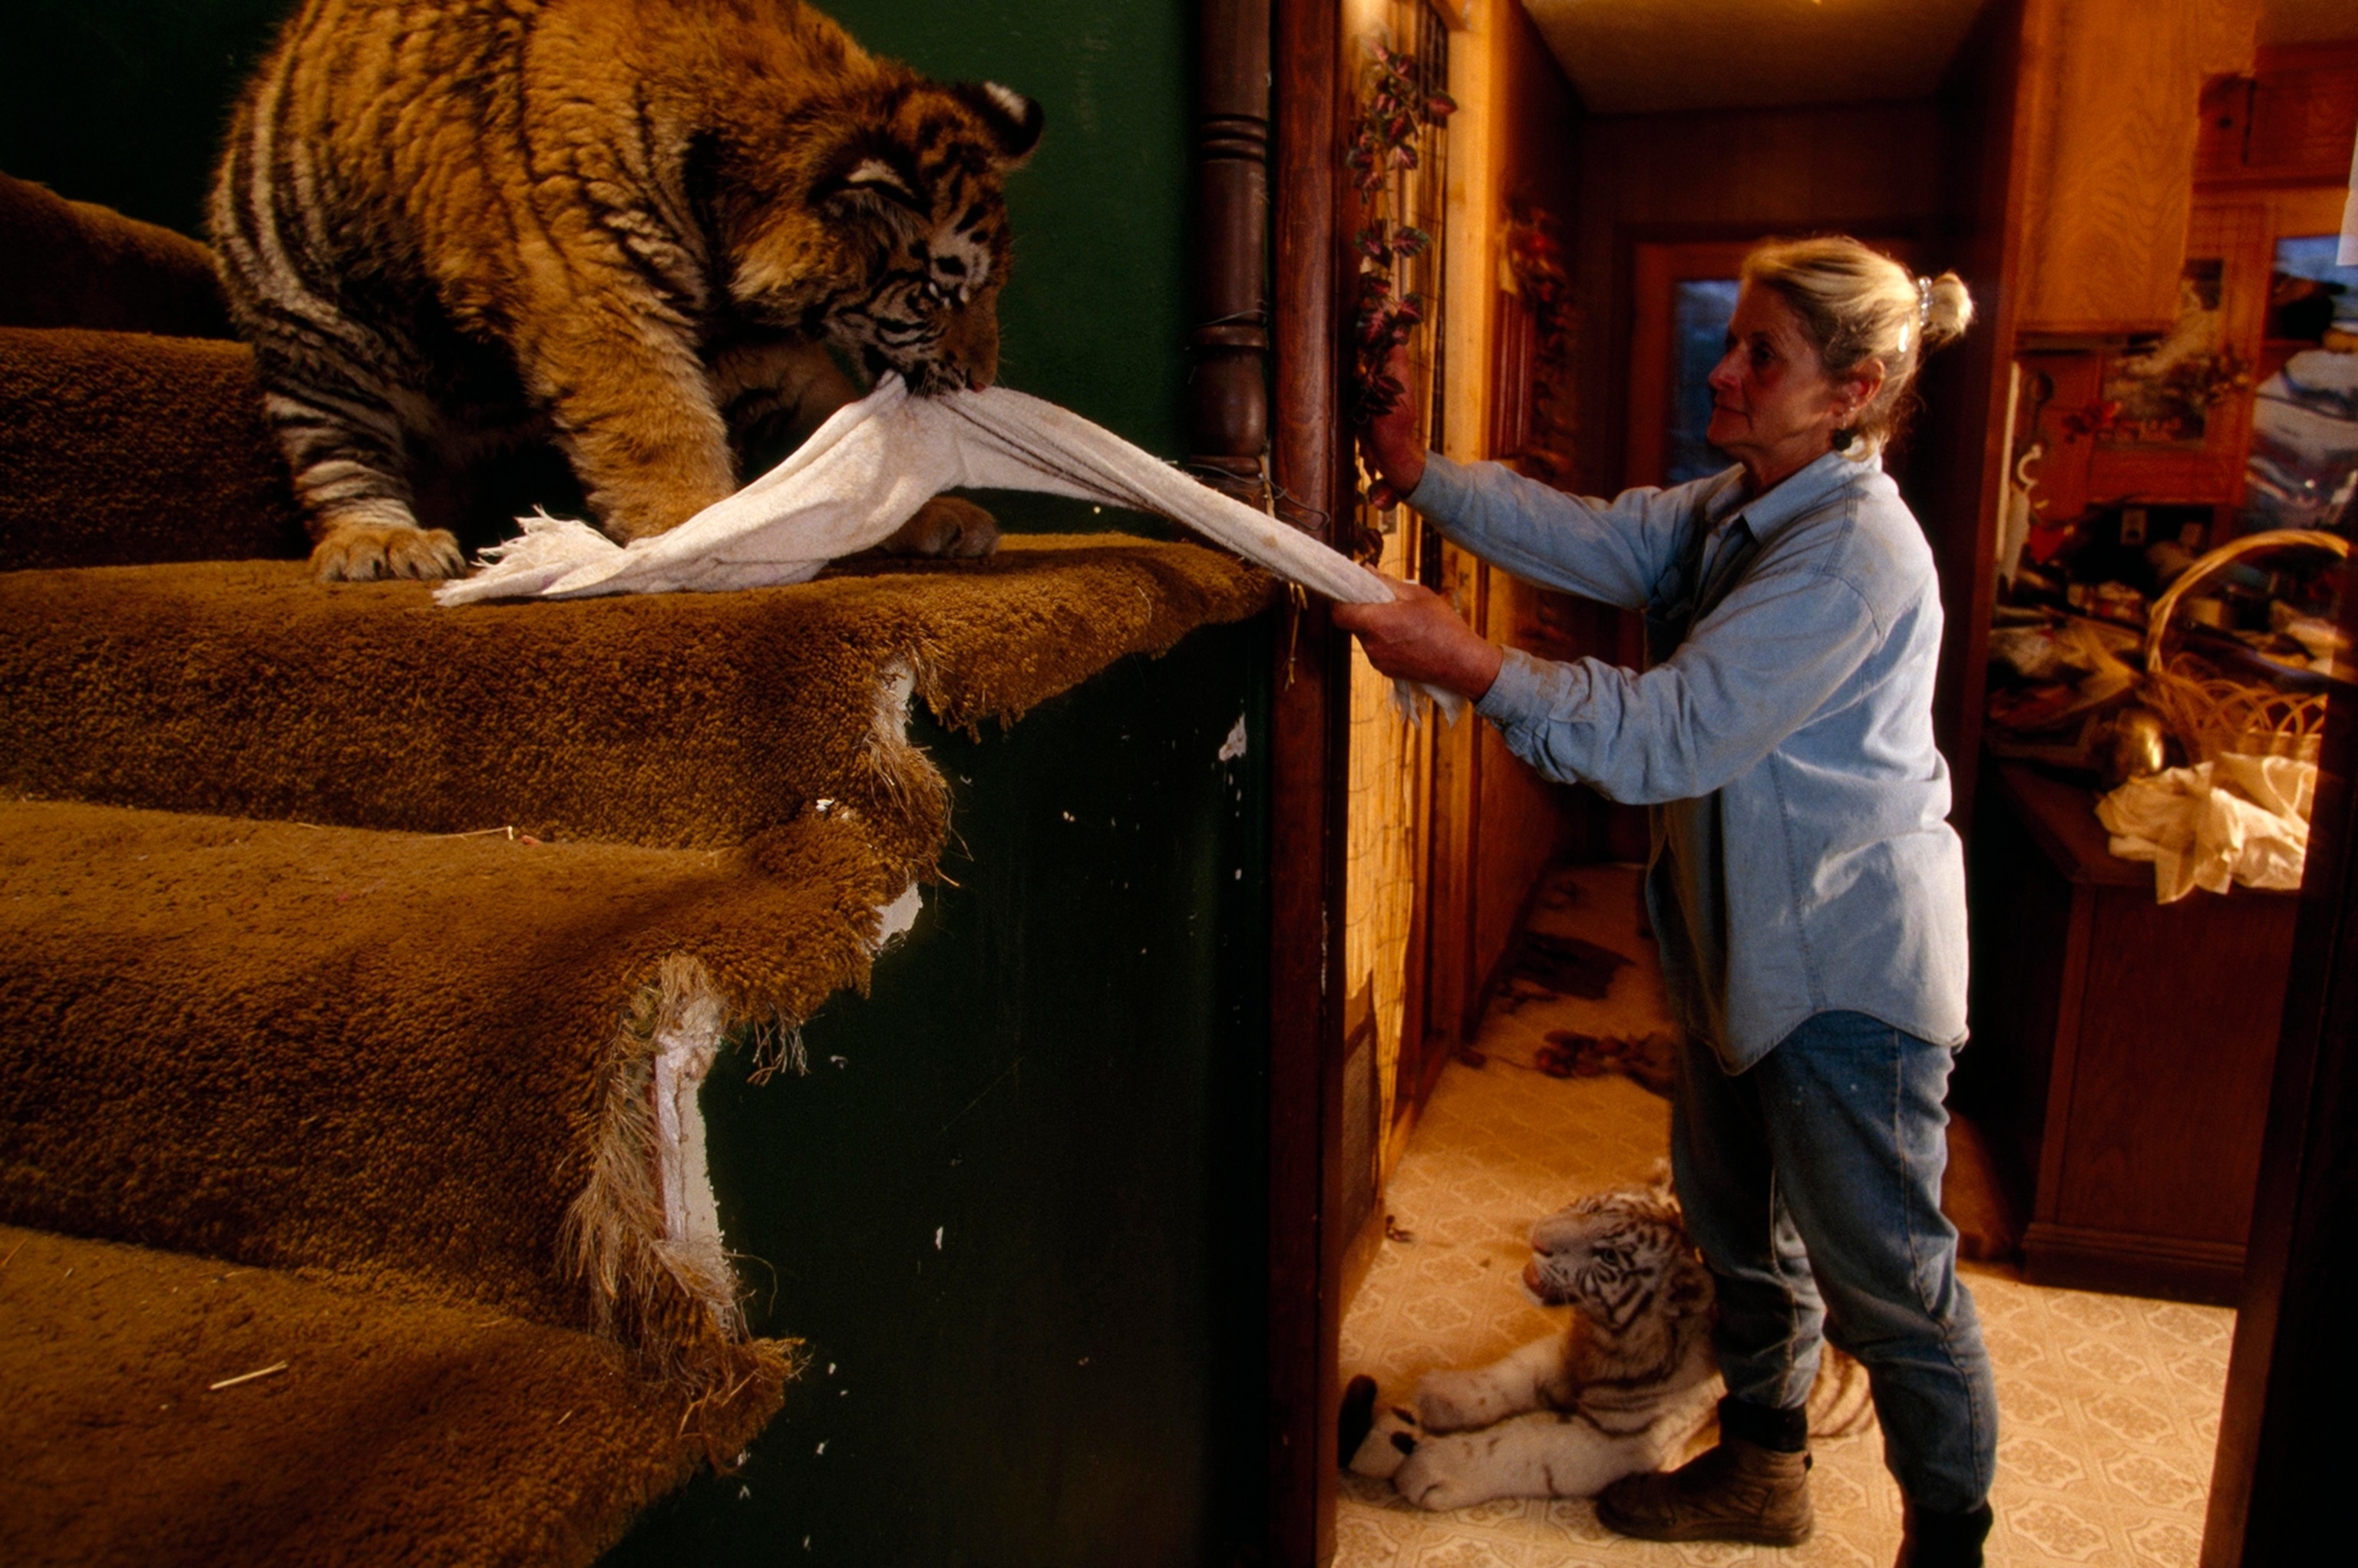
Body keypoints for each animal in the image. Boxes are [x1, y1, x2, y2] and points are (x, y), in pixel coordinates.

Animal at [210, 0, 1040, 581]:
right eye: (939, 295)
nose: (980, 378)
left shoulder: (748, 342)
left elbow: (824, 428)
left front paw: (920, 513)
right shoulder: (596, 297)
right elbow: (662, 427)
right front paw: (696, 532)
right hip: (316, 327)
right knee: (337, 456)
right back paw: (383, 542)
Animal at [1341, 1176, 1870, 1512]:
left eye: (1609, 1257)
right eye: (1593, 1208)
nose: (1538, 1237)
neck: (1604, 1340)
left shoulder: (1618, 1444)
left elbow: (1520, 1446)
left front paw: (1433, 1468)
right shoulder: (1562, 1350)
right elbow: (1506, 1376)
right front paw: (1443, 1394)